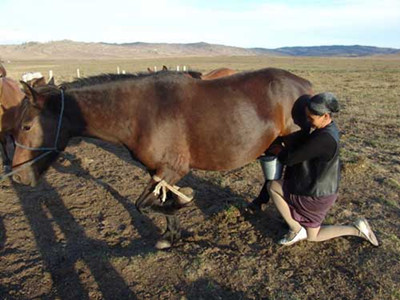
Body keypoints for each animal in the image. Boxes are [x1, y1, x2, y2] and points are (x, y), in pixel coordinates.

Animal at [11, 68, 312, 248]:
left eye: (26, 126)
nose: (17, 176)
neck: (140, 112)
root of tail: (303, 84)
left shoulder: (172, 169)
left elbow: (145, 204)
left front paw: (183, 203)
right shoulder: (158, 171)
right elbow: (159, 201)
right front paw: (171, 235)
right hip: (273, 144)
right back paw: (256, 204)